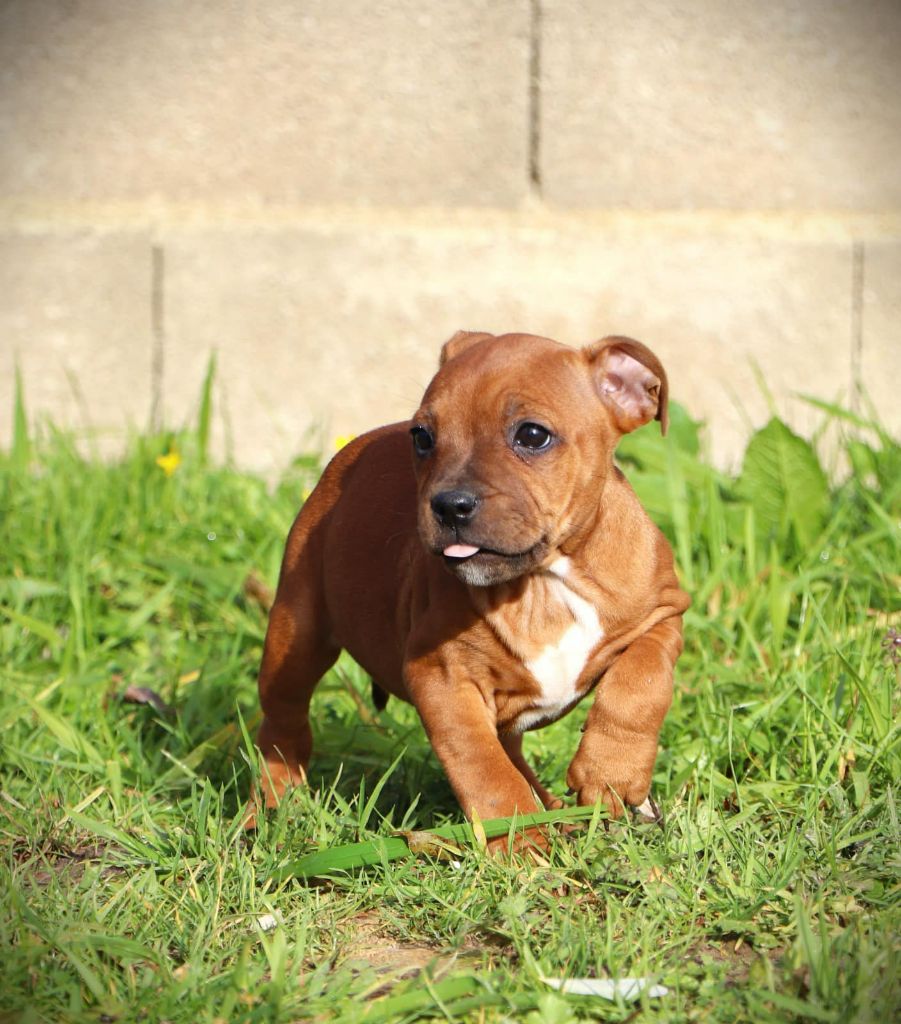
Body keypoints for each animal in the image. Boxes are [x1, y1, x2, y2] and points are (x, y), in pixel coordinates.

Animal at [253, 333, 688, 831]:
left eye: (532, 435)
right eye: (423, 438)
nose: (449, 505)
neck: (543, 582)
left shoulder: (662, 614)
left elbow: (641, 683)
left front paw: (610, 773)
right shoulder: (443, 679)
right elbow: (484, 770)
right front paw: (521, 841)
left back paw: (553, 809)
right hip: (295, 635)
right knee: (282, 722)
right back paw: (269, 810)